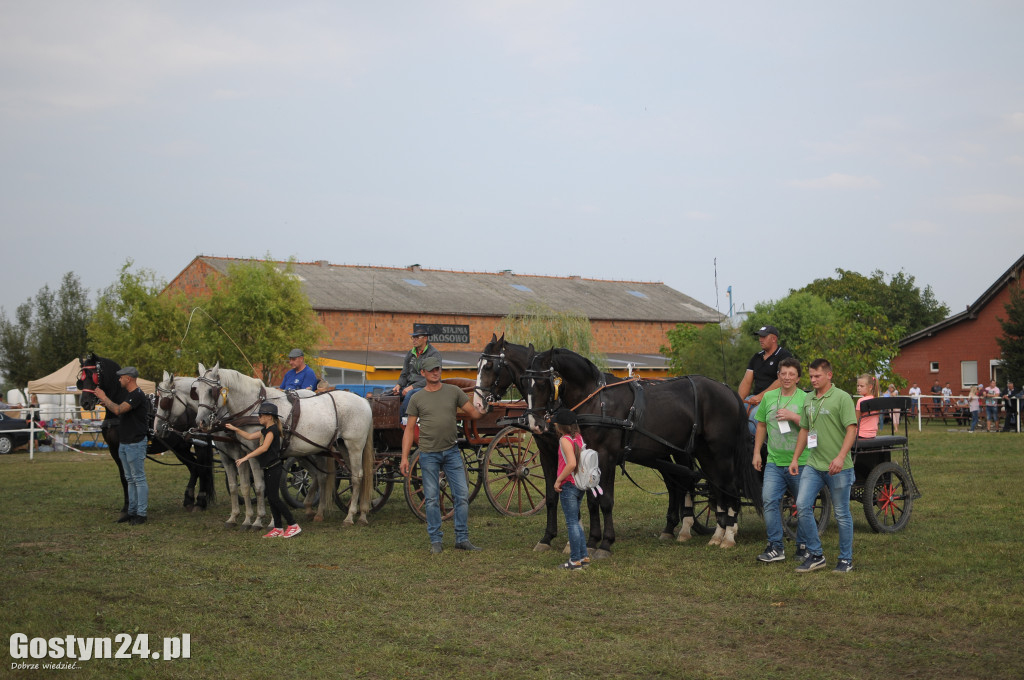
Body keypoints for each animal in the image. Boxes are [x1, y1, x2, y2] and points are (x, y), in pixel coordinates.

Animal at [192, 360, 376, 524]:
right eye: (197, 391)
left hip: (354, 446)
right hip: (332, 447)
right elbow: (245, 486)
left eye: (211, 391)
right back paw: (344, 513)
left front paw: (262, 520)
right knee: (330, 475)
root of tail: (364, 401)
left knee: (357, 476)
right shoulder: (246, 454)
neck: (257, 408)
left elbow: (263, 487)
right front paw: (246, 519)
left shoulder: (264, 454)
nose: (201, 422)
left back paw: (351, 516)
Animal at [520, 348, 761, 548]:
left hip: (720, 452)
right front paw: (591, 541)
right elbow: (591, 501)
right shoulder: (585, 457)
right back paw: (716, 534)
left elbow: (605, 501)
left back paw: (728, 535)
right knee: (713, 488)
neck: (597, 400)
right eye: (524, 385)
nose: (535, 425)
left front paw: (605, 543)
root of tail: (727, 390)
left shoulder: (606, 457)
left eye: (542, 384)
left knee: (728, 488)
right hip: (702, 453)